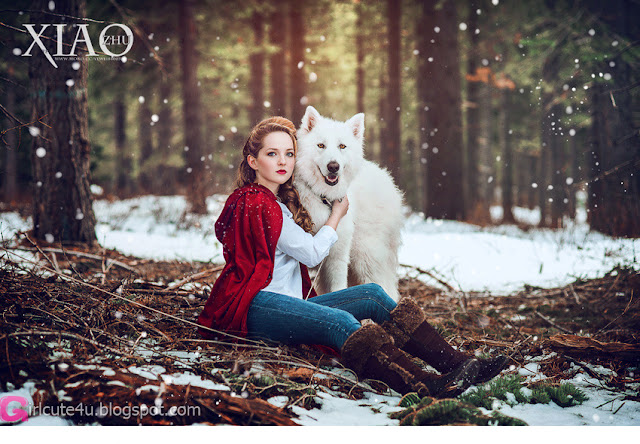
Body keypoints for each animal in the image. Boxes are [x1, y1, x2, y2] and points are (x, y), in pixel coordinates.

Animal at [294, 105, 402, 302]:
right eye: (321, 145)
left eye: (342, 146)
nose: (333, 166)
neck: (321, 197)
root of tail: (388, 180)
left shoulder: (337, 258)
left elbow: (338, 289)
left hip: (365, 258)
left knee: (384, 287)